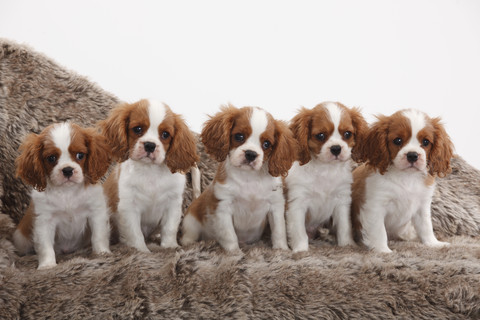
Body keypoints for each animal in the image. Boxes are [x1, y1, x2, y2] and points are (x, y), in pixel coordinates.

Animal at [100, 99, 198, 251]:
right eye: (138, 129)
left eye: (165, 134)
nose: (150, 145)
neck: (151, 170)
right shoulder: (129, 207)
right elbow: (135, 232)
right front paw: (141, 250)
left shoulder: (173, 203)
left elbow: (169, 228)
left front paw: (169, 246)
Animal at [350, 109, 452, 252]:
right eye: (397, 140)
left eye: (426, 142)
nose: (412, 155)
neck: (407, 176)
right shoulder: (375, 206)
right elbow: (379, 231)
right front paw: (383, 250)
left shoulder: (422, 206)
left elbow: (426, 227)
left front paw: (433, 243)